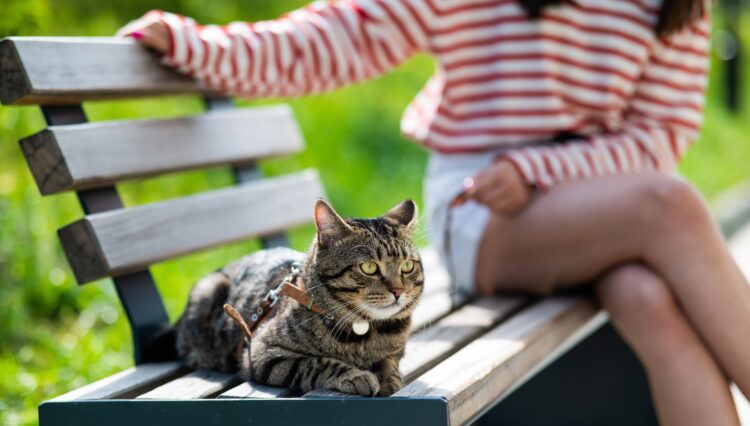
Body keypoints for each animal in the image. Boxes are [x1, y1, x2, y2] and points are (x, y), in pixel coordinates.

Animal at [175, 200, 424, 396]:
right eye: (369, 268)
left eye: (408, 266)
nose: (398, 291)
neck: (364, 332)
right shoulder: (263, 353)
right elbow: (316, 363)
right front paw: (355, 375)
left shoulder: (395, 351)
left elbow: (388, 361)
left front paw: (389, 379)